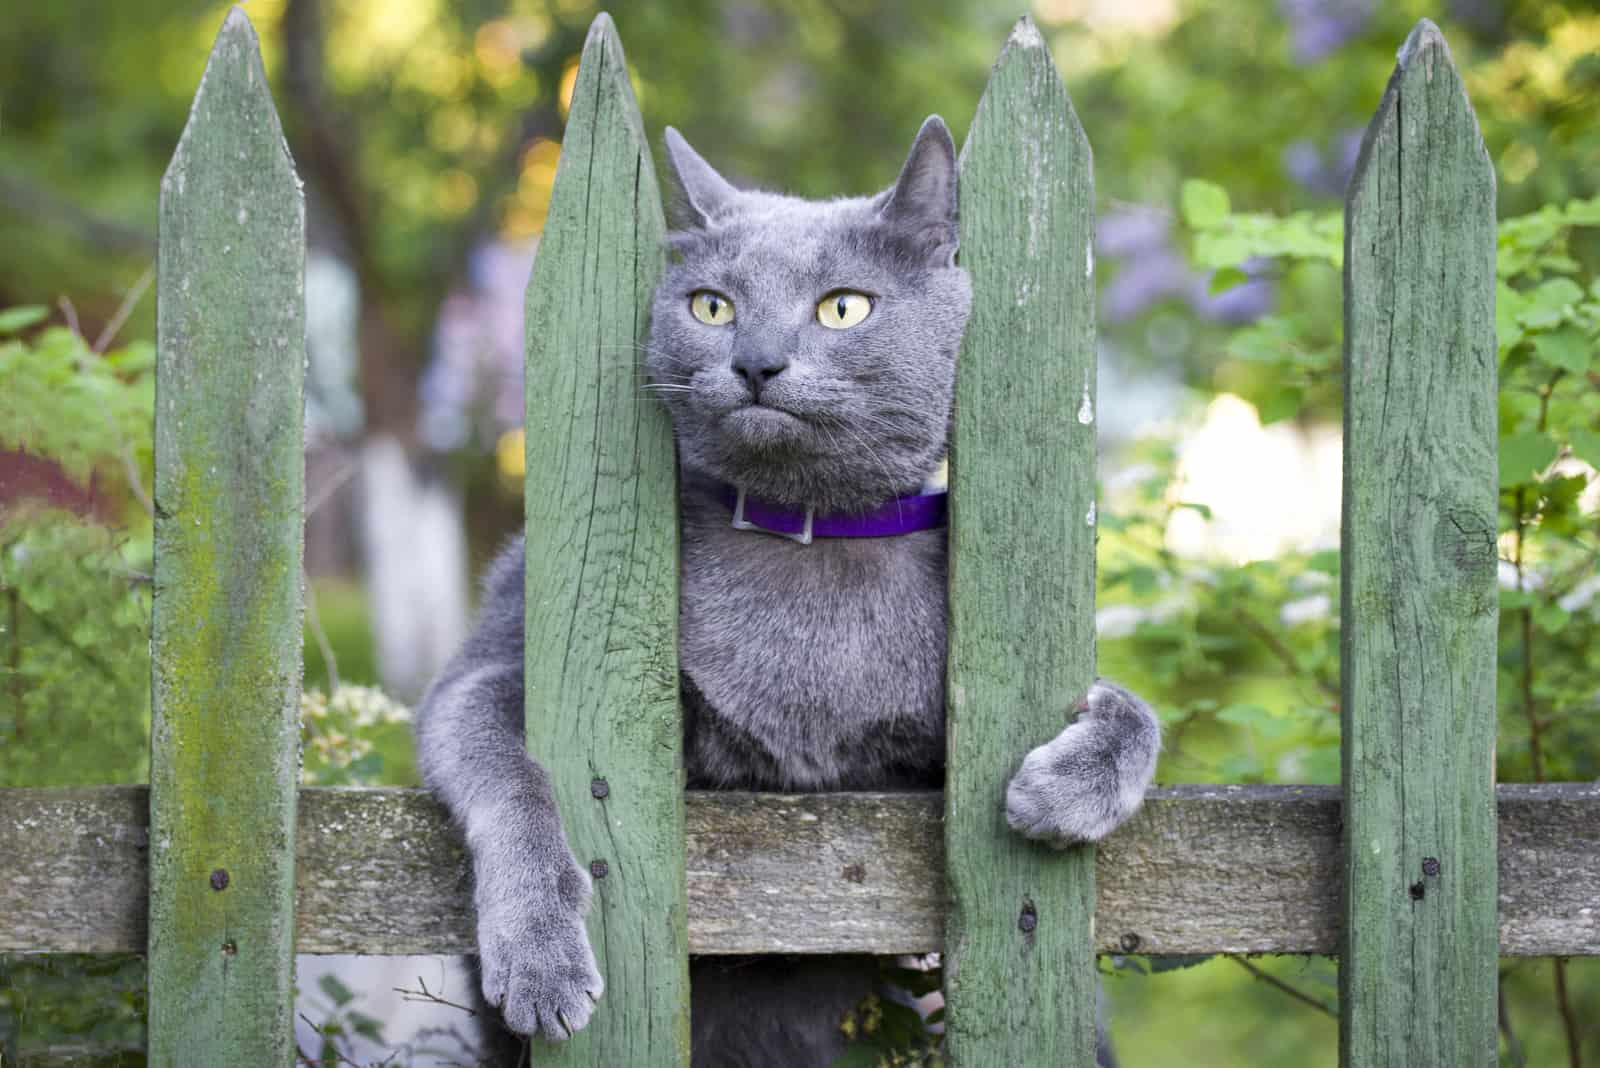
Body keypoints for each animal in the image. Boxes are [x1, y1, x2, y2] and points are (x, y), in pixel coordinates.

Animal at [412, 119, 1164, 1068]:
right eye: (712, 306)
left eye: (843, 307)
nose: (756, 362)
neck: (805, 531)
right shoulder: (490, 663)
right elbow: (509, 769)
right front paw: (542, 957)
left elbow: (1133, 709)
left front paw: (1065, 790)